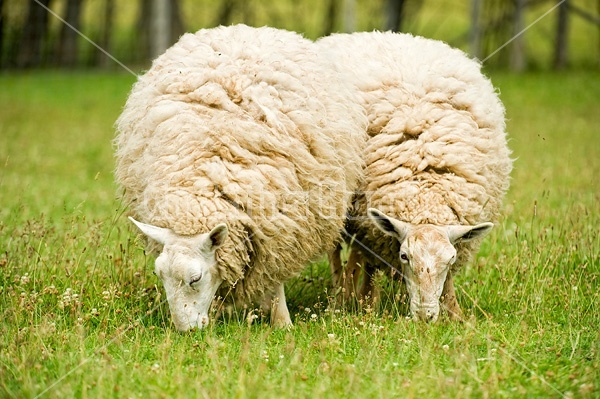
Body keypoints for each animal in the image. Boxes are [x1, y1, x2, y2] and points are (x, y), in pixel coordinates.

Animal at [113, 23, 366, 332]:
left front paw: (281, 321)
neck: (202, 185)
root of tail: (246, 29)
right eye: (160, 275)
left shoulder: (278, 229)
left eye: (195, 279)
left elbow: (274, 276)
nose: (186, 332)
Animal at [318, 32, 510, 324]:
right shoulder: (370, 228)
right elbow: (370, 266)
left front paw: (454, 312)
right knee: (337, 255)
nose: (424, 317)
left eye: (451, 258)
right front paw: (368, 304)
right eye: (404, 256)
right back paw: (342, 296)